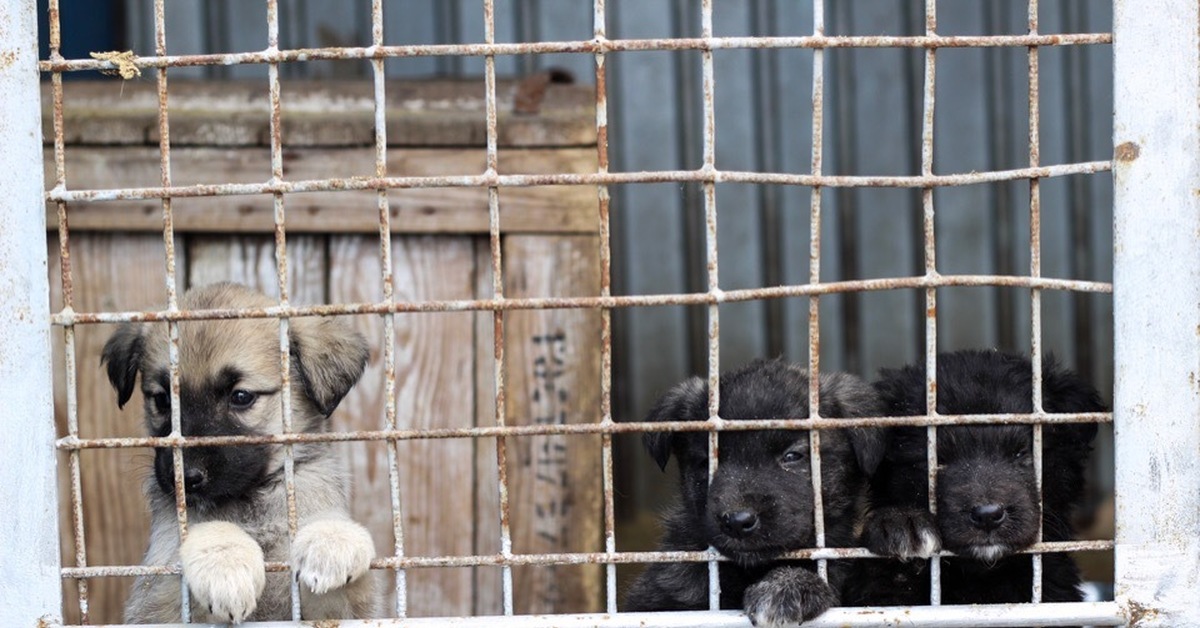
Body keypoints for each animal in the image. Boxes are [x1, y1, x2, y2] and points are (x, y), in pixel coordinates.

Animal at [107, 284, 381, 624]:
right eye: (162, 400)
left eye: (241, 396)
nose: (185, 477)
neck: (249, 502)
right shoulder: (159, 596)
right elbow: (209, 530)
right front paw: (226, 564)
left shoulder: (342, 608)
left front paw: (332, 539)